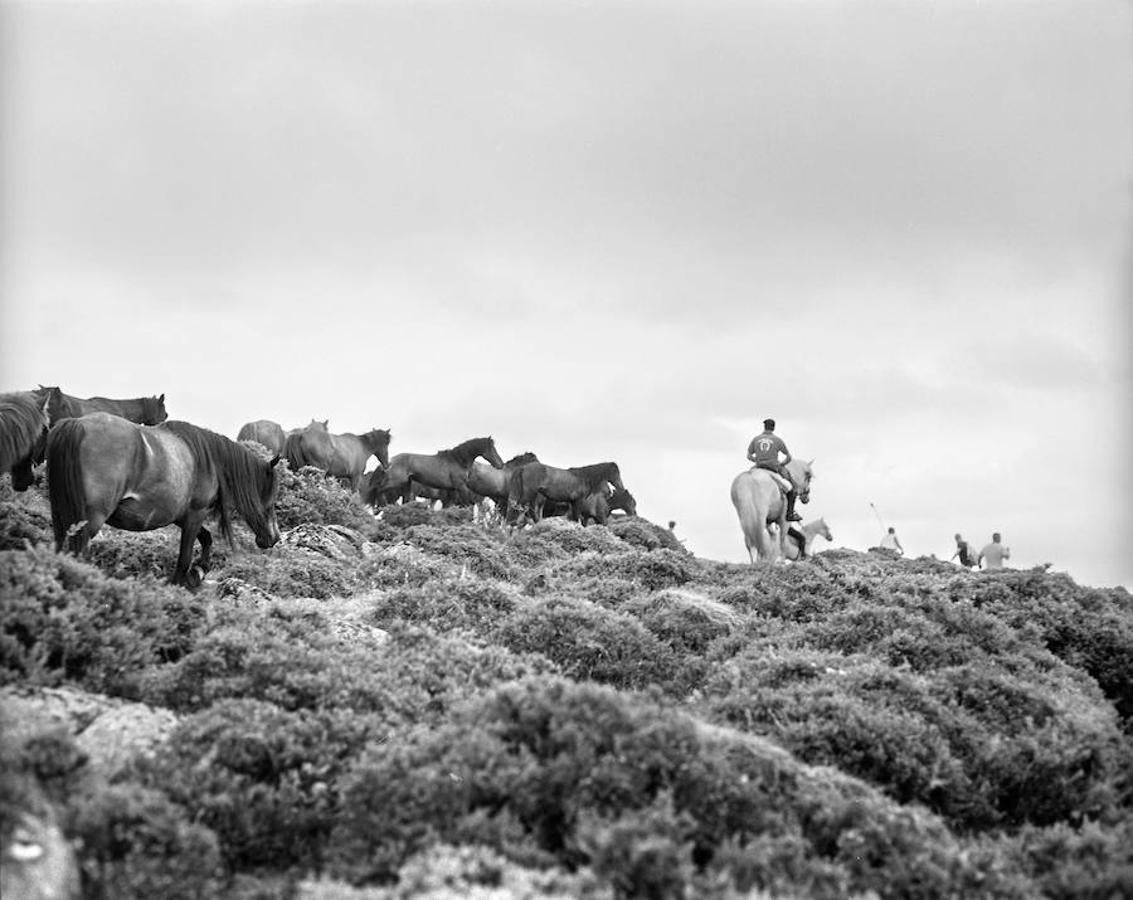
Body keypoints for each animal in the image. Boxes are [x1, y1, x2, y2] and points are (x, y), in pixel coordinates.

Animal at [47, 410, 282, 584]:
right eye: (271, 499)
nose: (274, 538)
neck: (210, 462)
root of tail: (77, 425)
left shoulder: (180, 515)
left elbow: (206, 538)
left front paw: (199, 570)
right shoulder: (196, 514)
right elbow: (185, 558)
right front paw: (185, 580)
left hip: (63, 517)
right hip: (91, 520)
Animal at [367, 435, 505, 505]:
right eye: (492, 449)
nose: (501, 464)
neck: (458, 460)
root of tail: (390, 461)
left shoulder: (452, 490)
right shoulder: (461, 487)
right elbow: (466, 504)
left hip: (407, 484)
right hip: (396, 482)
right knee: (379, 490)